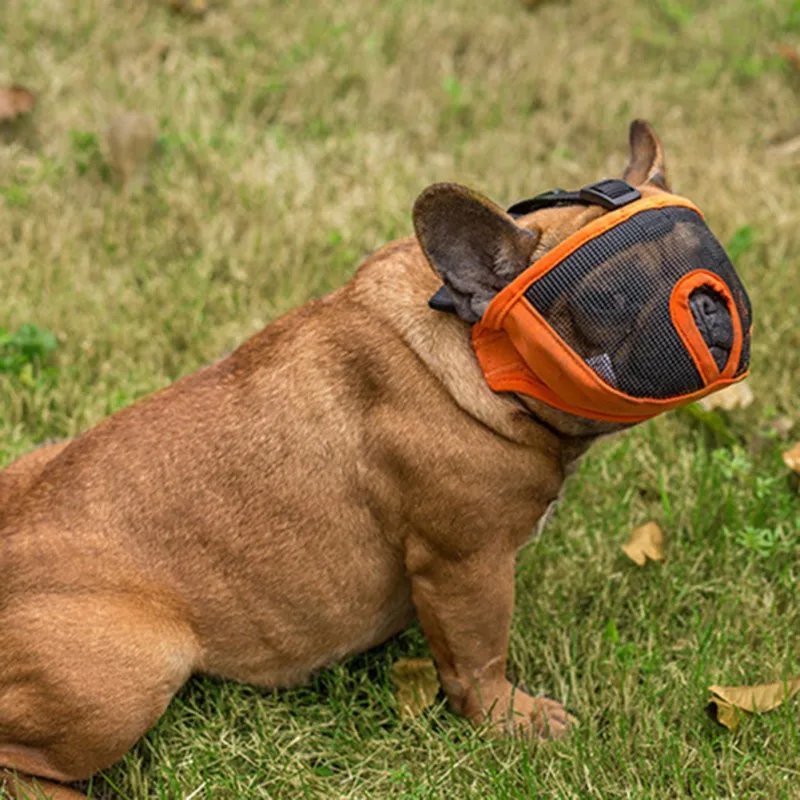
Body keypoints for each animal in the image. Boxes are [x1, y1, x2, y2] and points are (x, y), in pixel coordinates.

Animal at [1, 122, 720, 796]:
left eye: (709, 257)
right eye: (612, 302)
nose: (706, 303)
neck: (477, 351)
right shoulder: (466, 563)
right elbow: (479, 655)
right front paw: (510, 720)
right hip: (132, 672)